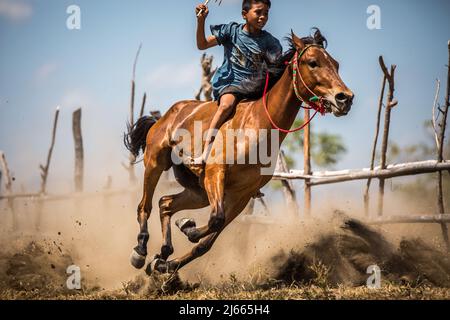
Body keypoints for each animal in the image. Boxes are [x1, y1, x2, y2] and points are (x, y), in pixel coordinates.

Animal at [125, 30, 354, 274]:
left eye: (336, 64)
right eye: (313, 62)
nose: (345, 98)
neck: (257, 125)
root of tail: (168, 115)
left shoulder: (242, 195)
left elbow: (206, 241)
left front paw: (171, 255)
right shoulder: (216, 173)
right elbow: (216, 219)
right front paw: (187, 229)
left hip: (198, 191)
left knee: (165, 204)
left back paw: (163, 252)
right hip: (155, 163)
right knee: (145, 206)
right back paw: (140, 251)